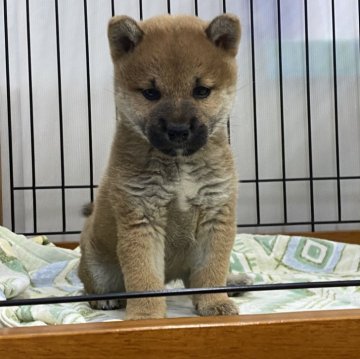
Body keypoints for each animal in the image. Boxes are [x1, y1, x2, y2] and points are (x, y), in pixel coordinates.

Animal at [78, 13, 250, 320]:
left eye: (201, 91)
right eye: (150, 93)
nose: (178, 130)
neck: (180, 165)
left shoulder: (215, 215)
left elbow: (211, 271)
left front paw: (214, 302)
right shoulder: (141, 218)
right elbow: (144, 278)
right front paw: (146, 316)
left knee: (197, 279)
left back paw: (232, 283)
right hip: (96, 265)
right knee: (92, 285)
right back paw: (105, 298)